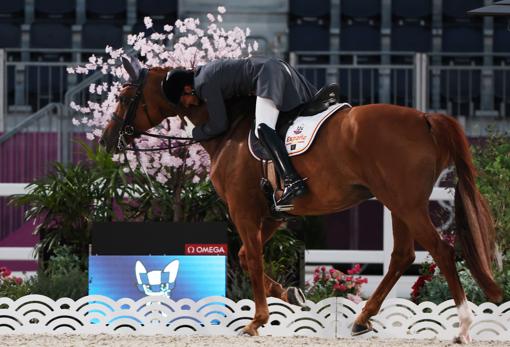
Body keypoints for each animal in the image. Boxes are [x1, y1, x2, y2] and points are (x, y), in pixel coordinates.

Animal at [98, 58, 502, 344]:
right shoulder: (272, 213)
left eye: (123, 98)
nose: (105, 140)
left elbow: (252, 259)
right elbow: (246, 255)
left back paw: (463, 326)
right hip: (399, 204)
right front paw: (292, 297)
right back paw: (362, 320)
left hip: (406, 204)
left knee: (442, 252)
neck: (230, 129)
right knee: (402, 256)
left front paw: (256, 321)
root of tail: (424, 118)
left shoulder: (243, 209)